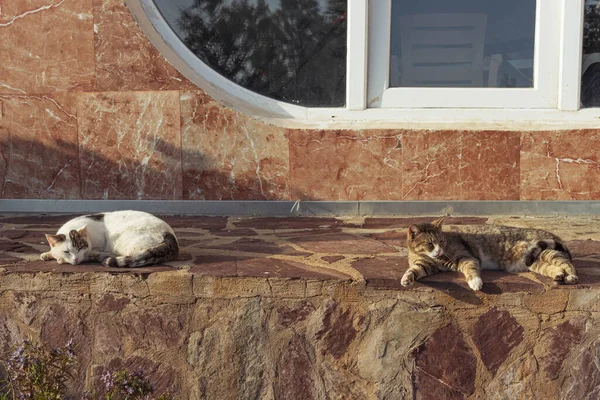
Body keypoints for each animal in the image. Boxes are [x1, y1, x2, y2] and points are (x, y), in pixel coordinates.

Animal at [40, 209, 178, 268]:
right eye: (66, 251)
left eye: (80, 248)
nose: (76, 259)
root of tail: (169, 233)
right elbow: (52, 251)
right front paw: (47, 254)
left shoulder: (95, 247)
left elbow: (88, 254)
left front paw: (60, 259)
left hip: (121, 242)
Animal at [404, 216, 576, 290]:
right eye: (430, 243)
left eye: (441, 241)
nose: (439, 250)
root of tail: (553, 234)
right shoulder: (426, 265)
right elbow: (415, 270)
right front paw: (406, 279)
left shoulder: (465, 256)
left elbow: (470, 268)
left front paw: (475, 282)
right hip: (534, 262)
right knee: (554, 267)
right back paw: (559, 275)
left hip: (543, 252)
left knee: (566, 263)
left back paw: (571, 276)